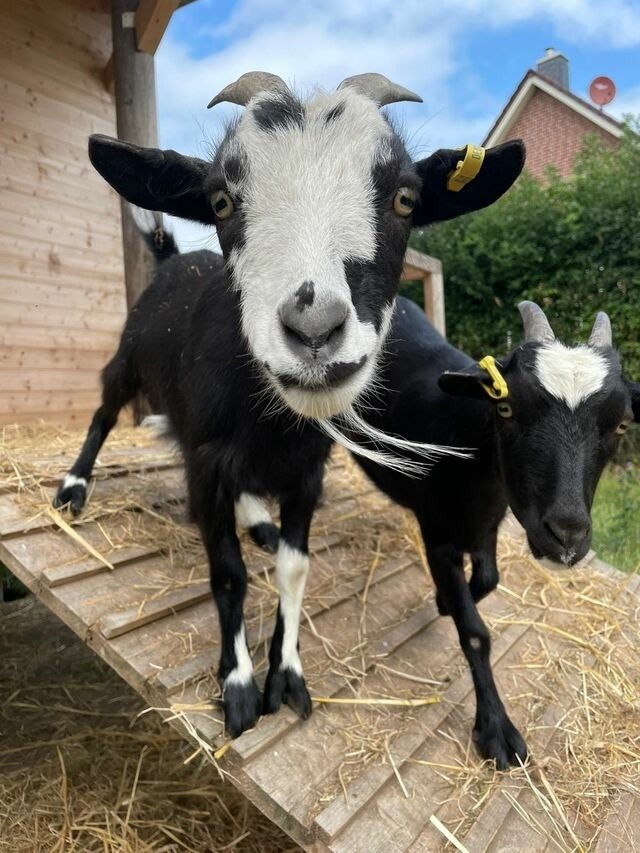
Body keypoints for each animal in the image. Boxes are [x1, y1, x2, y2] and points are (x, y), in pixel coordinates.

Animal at [53, 73, 524, 736]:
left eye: (406, 199)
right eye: (222, 202)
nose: (314, 330)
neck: (269, 424)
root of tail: (174, 258)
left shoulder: (307, 473)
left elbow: (294, 568)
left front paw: (287, 675)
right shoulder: (207, 466)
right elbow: (227, 574)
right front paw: (239, 687)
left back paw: (259, 523)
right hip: (128, 358)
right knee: (101, 412)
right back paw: (73, 488)